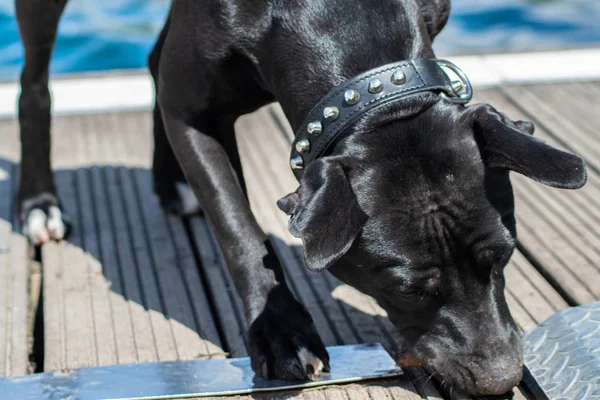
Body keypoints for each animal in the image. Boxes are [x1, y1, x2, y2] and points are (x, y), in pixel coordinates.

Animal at [15, 0, 584, 394]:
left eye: (504, 256)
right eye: (405, 289)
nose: (501, 379)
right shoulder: (194, 116)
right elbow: (239, 229)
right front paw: (282, 332)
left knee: (156, 58)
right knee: (34, 83)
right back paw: (39, 203)